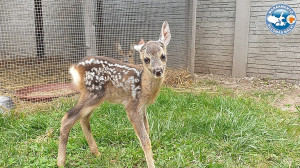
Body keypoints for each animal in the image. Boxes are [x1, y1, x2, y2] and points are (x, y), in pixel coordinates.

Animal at [57, 21, 170, 167]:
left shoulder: (142, 107)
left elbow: (148, 130)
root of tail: (75, 68)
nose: (158, 71)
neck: (143, 85)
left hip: (95, 96)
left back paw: (97, 153)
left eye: (163, 56)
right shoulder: (132, 105)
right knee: (68, 118)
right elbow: (145, 140)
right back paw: (61, 163)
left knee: (83, 118)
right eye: (146, 59)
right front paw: (151, 165)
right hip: (94, 93)